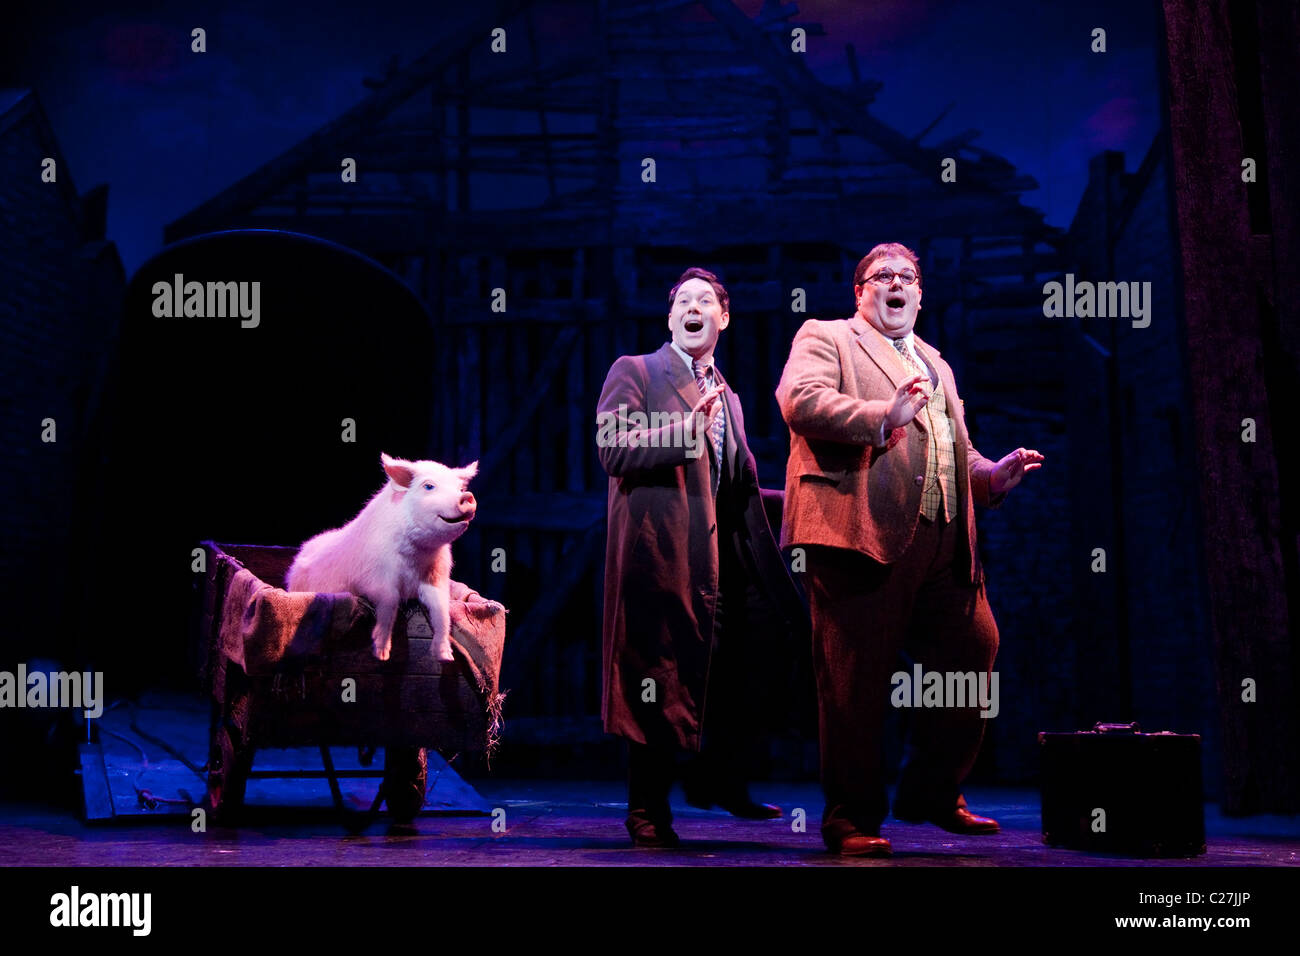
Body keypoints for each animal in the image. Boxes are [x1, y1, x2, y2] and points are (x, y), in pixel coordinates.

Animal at [287, 452, 480, 660]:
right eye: (428, 486)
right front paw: (381, 654)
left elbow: (442, 610)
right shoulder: (374, 577)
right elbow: (390, 600)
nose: (467, 496)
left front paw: (445, 656)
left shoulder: (436, 576)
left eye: (460, 488)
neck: (416, 557)